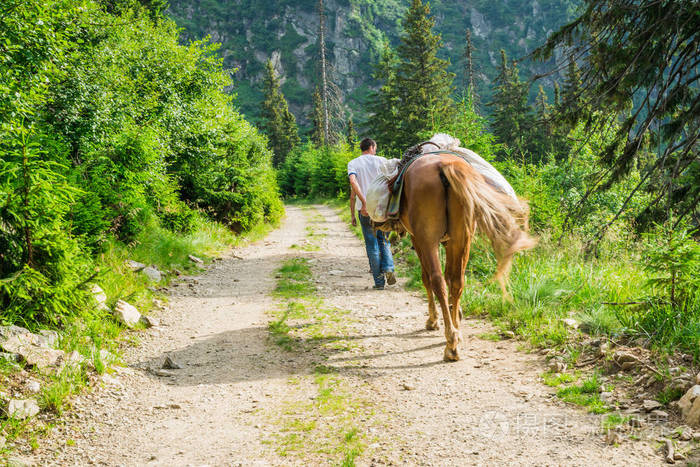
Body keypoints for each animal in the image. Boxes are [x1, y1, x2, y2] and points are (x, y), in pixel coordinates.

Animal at [398, 152, 536, 361]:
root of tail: (443, 165)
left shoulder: (418, 240)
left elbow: (426, 279)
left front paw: (433, 320)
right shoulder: (449, 242)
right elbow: (450, 276)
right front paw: (456, 313)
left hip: (428, 239)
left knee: (437, 280)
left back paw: (450, 343)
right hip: (462, 238)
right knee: (457, 281)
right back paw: (455, 334)